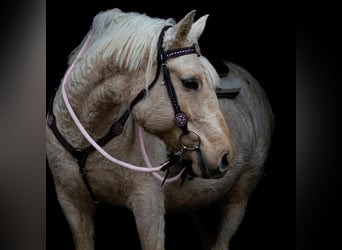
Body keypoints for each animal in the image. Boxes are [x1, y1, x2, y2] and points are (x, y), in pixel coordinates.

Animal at [46, 7, 274, 250]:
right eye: (191, 82)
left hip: (240, 194)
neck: (85, 136)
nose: (225, 155)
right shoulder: (72, 204)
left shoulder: (148, 205)